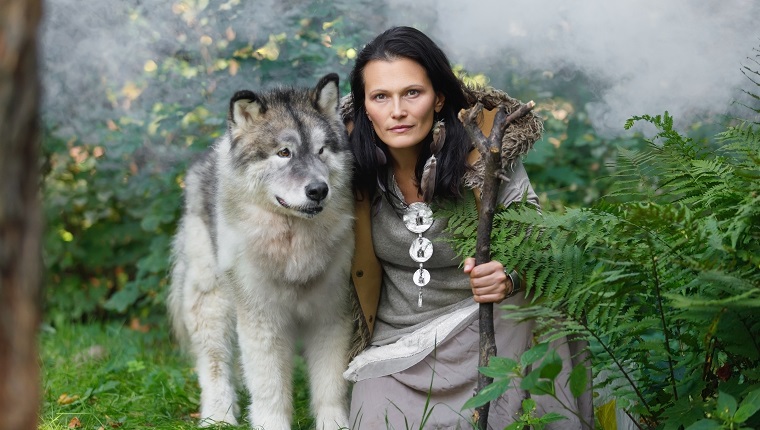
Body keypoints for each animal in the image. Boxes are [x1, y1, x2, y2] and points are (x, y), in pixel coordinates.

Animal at [168, 74, 354, 430]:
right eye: (284, 152)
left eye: (321, 150)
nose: (318, 190)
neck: (293, 244)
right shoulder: (262, 320)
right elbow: (269, 389)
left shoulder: (331, 317)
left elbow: (330, 385)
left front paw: (334, 424)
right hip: (212, 302)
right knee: (214, 366)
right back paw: (218, 416)